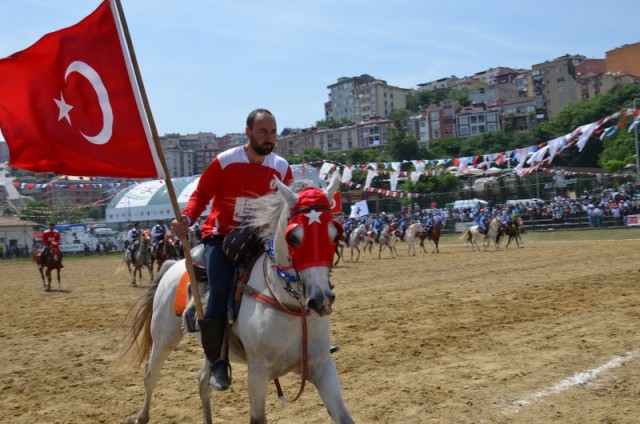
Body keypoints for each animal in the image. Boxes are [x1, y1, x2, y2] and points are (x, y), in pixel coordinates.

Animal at [117, 172, 352, 424]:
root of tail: (173, 264)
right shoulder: (257, 374)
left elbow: (344, 417)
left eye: (334, 234)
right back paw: (140, 416)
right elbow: (257, 418)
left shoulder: (322, 367)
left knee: (203, 382)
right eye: (293, 237)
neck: (287, 305)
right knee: (151, 375)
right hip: (163, 338)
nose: (321, 300)